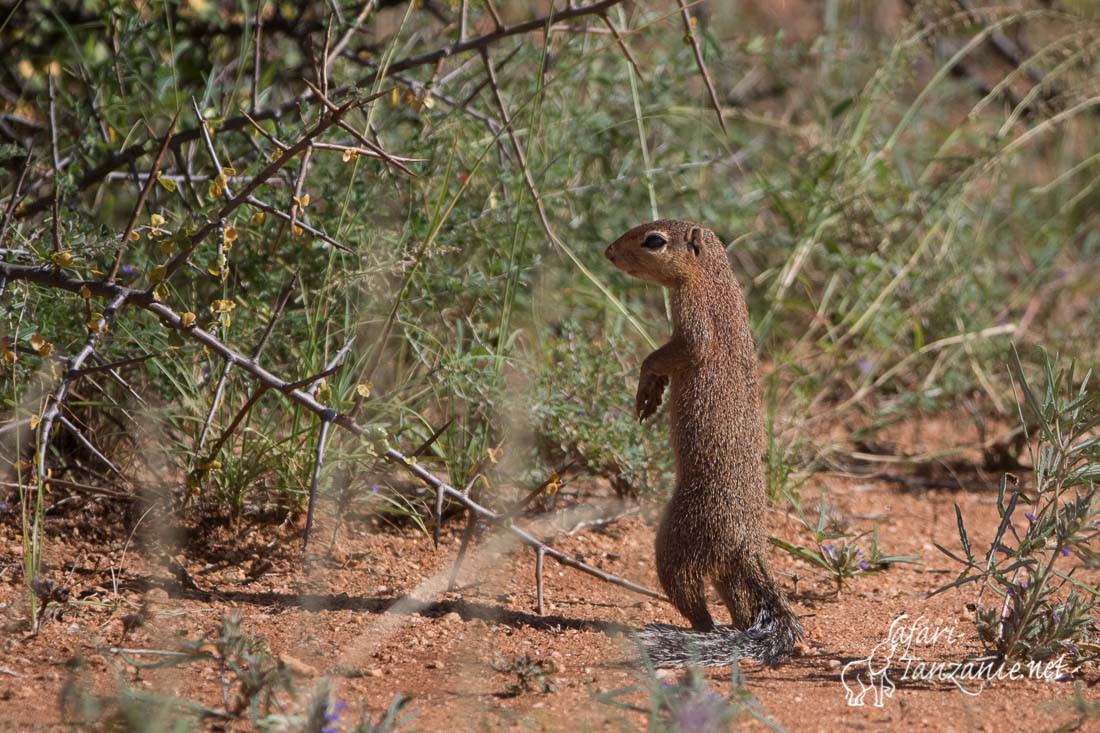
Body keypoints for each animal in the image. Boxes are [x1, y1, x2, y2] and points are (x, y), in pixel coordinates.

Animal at [607, 215, 805, 660]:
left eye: (654, 241)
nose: (608, 252)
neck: (713, 279)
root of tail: (751, 543)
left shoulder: (698, 324)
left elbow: (669, 352)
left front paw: (648, 386)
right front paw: (652, 392)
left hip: (677, 543)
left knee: (694, 600)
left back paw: (701, 633)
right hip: (728, 573)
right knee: (743, 608)